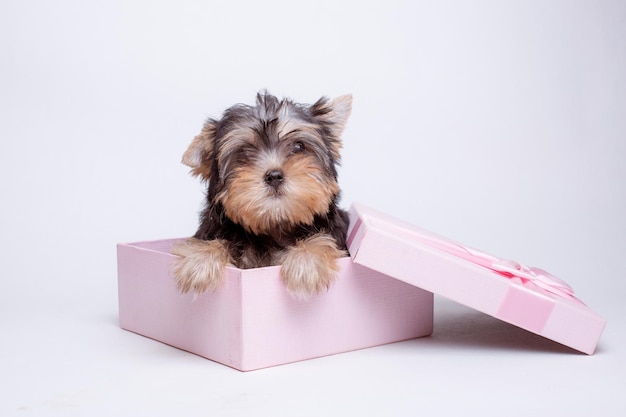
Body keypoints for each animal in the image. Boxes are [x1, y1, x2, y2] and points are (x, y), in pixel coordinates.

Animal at [172, 91, 352, 300]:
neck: (275, 225)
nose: (274, 176)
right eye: (243, 152)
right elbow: (216, 241)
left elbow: (322, 240)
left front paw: (306, 263)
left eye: (299, 147)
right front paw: (200, 260)